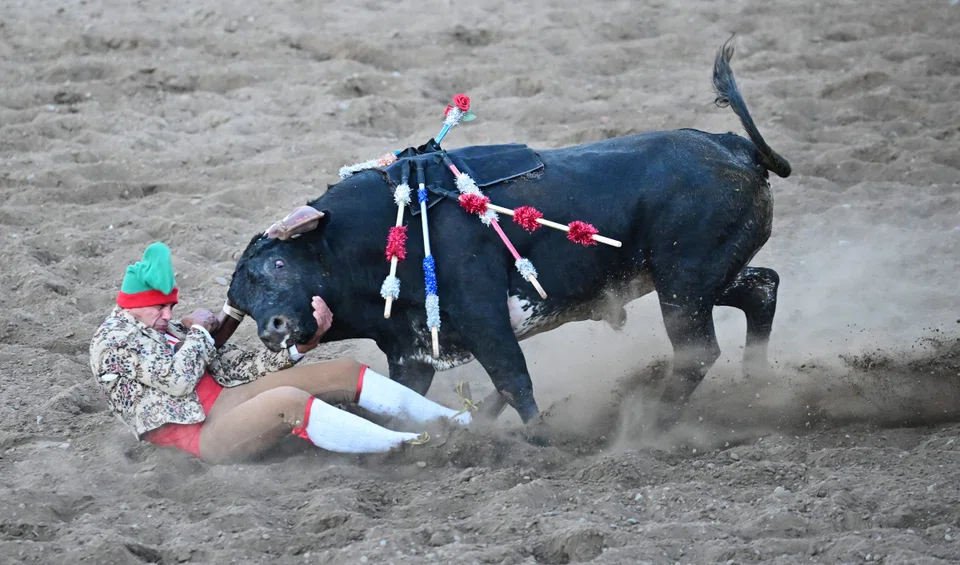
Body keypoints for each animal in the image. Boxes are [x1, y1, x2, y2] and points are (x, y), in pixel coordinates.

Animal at [225, 39, 791, 432]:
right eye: (242, 303)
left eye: (278, 264)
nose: (273, 329)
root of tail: (733, 147)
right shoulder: (411, 352)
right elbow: (404, 404)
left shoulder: (483, 316)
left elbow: (513, 379)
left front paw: (537, 439)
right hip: (697, 278)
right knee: (762, 286)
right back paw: (757, 385)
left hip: (684, 285)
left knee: (699, 352)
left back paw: (652, 418)